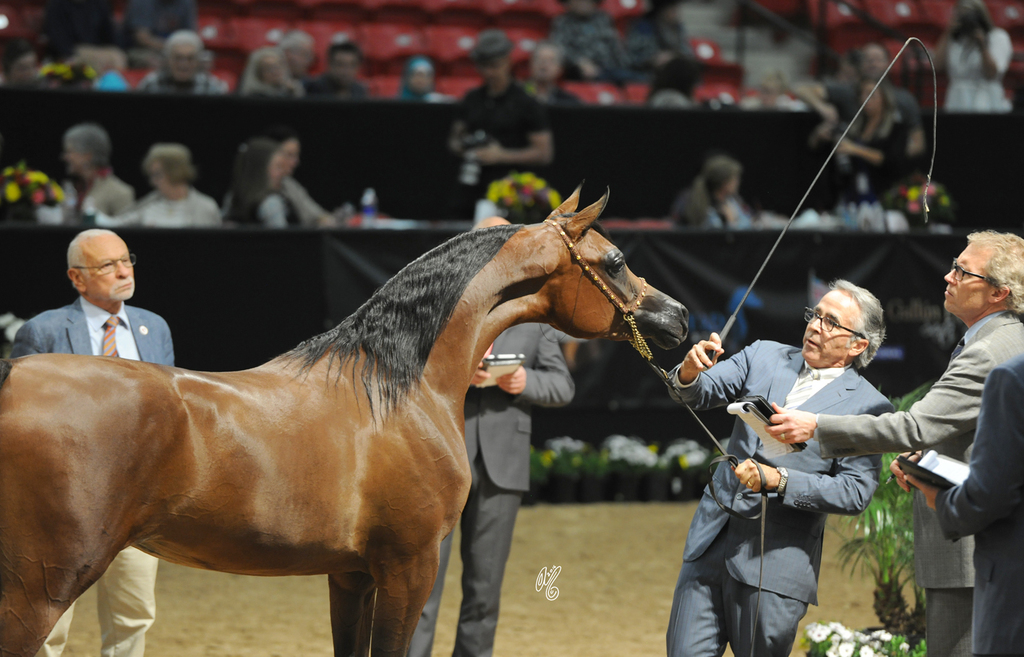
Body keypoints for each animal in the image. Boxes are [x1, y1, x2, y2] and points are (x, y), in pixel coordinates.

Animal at [0, 186, 688, 657]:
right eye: (616, 259)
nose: (678, 317)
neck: (396, 388)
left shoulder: (351, 574)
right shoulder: (410, 567)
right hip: (41, 589)